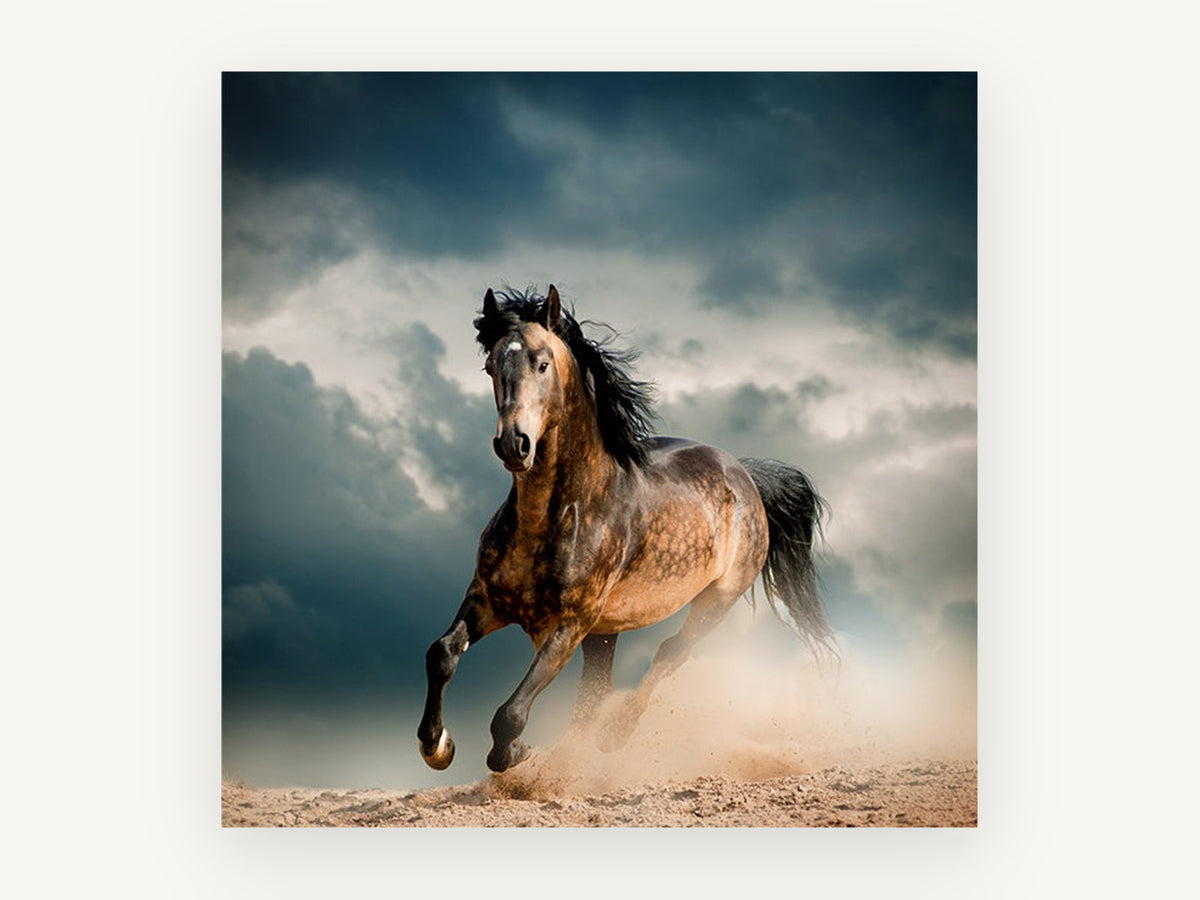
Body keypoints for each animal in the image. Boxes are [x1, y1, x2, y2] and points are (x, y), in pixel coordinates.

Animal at [417, 285, 834, 773]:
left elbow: (511, 713)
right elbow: (441, 653)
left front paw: (515, 752)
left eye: (542, 363)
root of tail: (745, 474)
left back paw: (614, 735)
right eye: (490, 366)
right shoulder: (487, 600)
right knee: (595, 692)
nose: (513, 444)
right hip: (606, 632)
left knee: (670, 653)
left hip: (715, 601)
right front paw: (437, 745)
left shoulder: (569, 625)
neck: (556, 516)